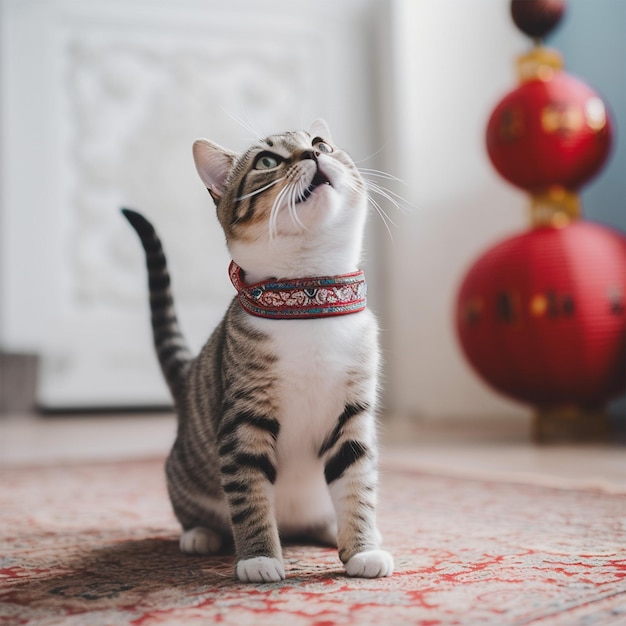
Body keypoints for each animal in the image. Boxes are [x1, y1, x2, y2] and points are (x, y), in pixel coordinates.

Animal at [122, 118, 392, 580]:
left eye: (321, 144)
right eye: (267, 161)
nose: (312, 154)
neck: (309, 302)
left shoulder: (353, 414)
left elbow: (358, 487)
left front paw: (362, 549)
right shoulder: (244, 419)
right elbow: (249, 496)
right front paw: (259, 559)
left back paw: (330, 531)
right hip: (185, 471)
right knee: (192, 508)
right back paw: (200, 535)